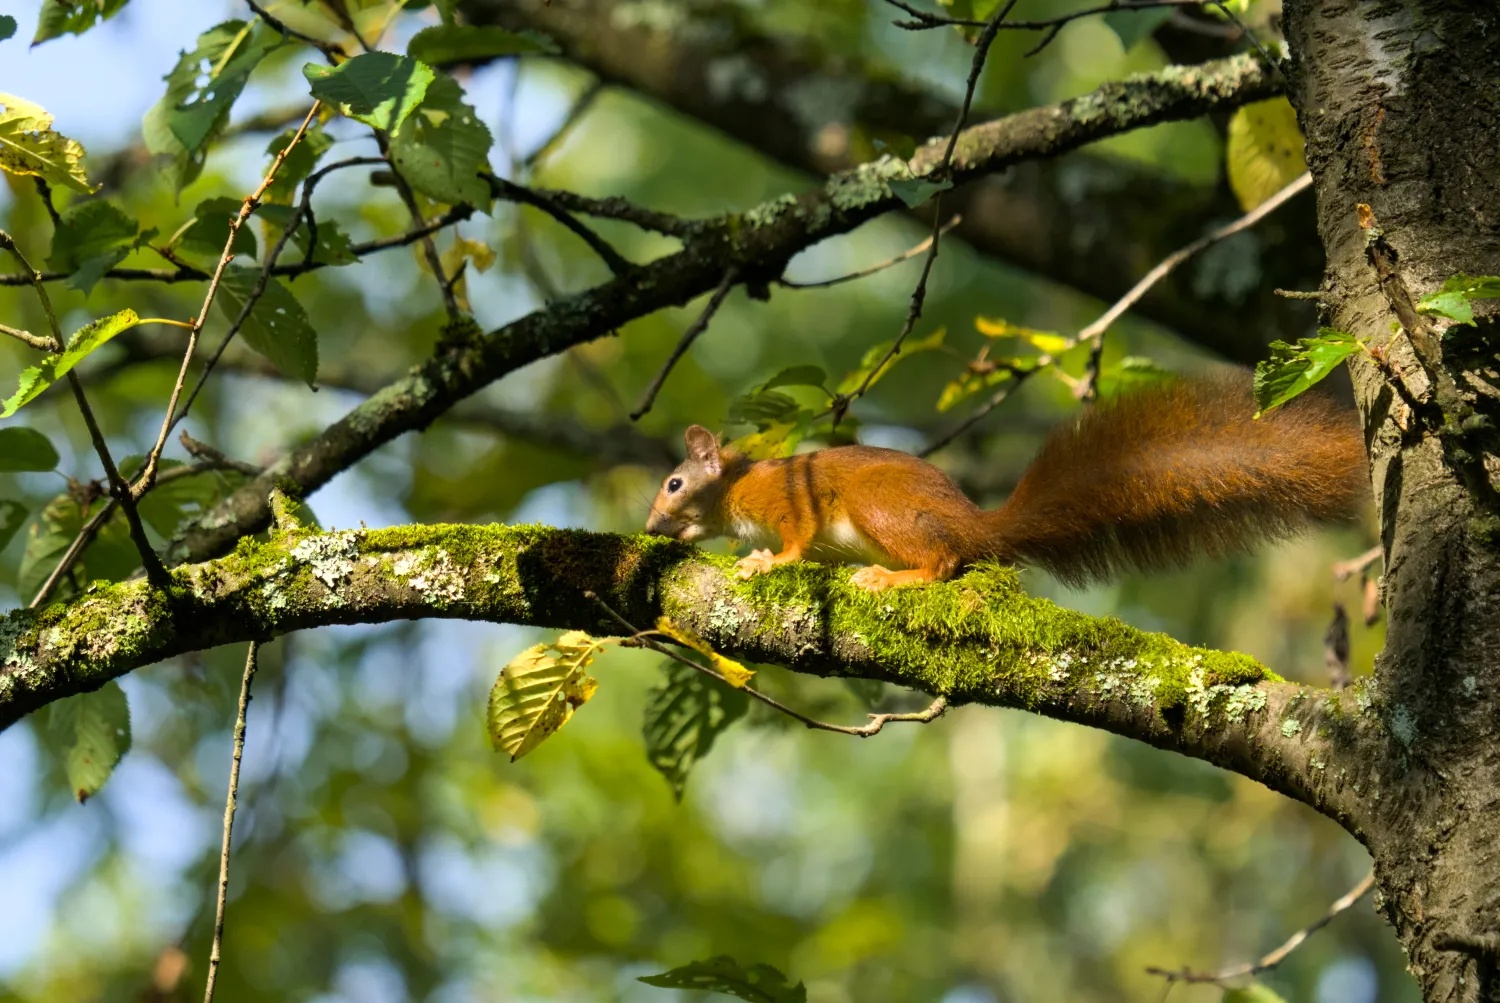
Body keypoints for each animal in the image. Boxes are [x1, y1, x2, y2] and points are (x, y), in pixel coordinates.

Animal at [644, 371, 1368, 592]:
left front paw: (766, 560)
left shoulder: (788, 501)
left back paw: (895, 577)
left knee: (943, 562)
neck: (734, 492)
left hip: (881, 508)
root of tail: (977, 524)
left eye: (675, 483)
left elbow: (796, 537)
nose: (650, 525)